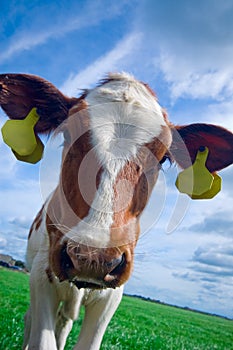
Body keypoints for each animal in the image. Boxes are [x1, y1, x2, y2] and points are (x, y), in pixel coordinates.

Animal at [0, 72, 233, 350]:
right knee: (30, 319)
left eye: (164, 157)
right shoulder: (40, 274)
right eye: (67, 133)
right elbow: (43, 341)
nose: (93, 257)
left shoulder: (111, 296)